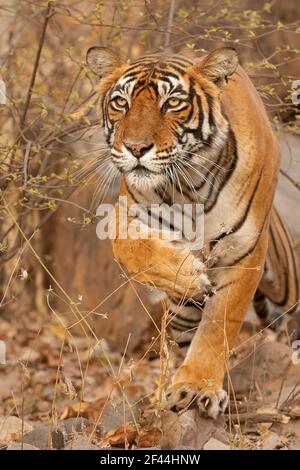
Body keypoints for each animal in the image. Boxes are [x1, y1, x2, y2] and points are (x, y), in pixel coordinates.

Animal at [85, 45, 298, 418]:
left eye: (172, 103)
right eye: (121, 102)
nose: (135, 148)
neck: (187, 186)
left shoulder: (244, 251)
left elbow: (218, 326)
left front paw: (196, 387)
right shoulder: (125, 218)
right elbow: (134, 252)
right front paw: (186, 274)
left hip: (285, 287)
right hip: (181, 316)